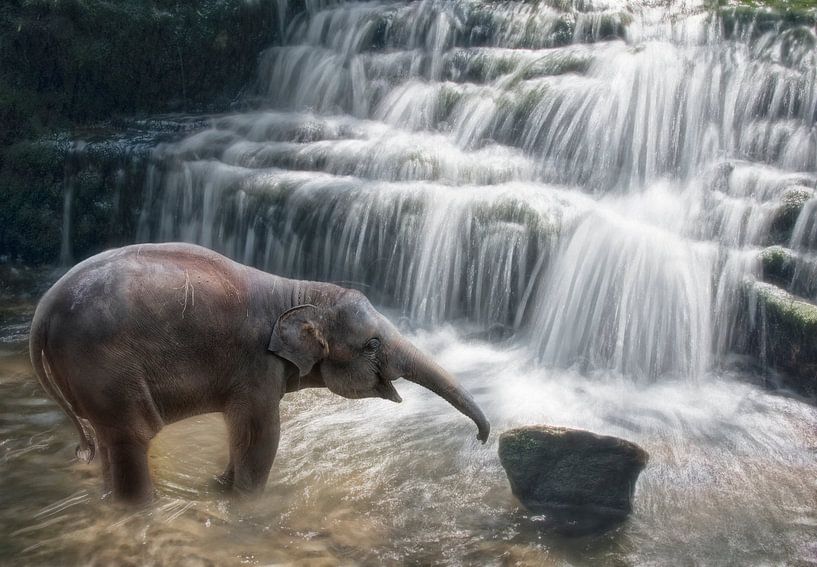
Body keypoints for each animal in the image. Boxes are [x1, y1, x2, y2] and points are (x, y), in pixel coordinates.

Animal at [29, 243, 490, 504]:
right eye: (373, 344)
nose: (482, 439)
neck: (300, 290)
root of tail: (42, 311)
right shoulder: (256, 365)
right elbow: (260, 433)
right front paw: (245, 504)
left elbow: (242, 432)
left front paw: (219, 487)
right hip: (106, 370)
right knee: (130, 438)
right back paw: (140, 509)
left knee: (110, 440)